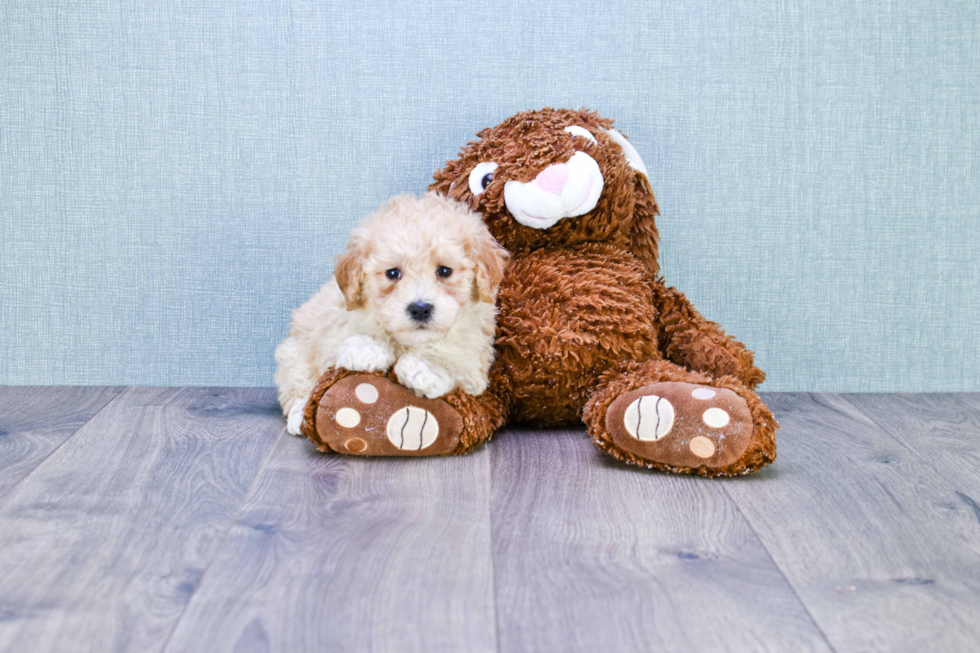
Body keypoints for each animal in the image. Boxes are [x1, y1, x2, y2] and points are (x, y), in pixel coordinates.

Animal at [274, 191, 506, 436]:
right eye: (393, 273)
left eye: (444, 271)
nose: (420, 308)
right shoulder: (332, 325)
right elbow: (344, 342)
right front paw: (368, 351)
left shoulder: (475, 365)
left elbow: (453, 360)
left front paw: (422, 368)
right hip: (293, 350)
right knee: (297, 383)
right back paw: (299, 414)